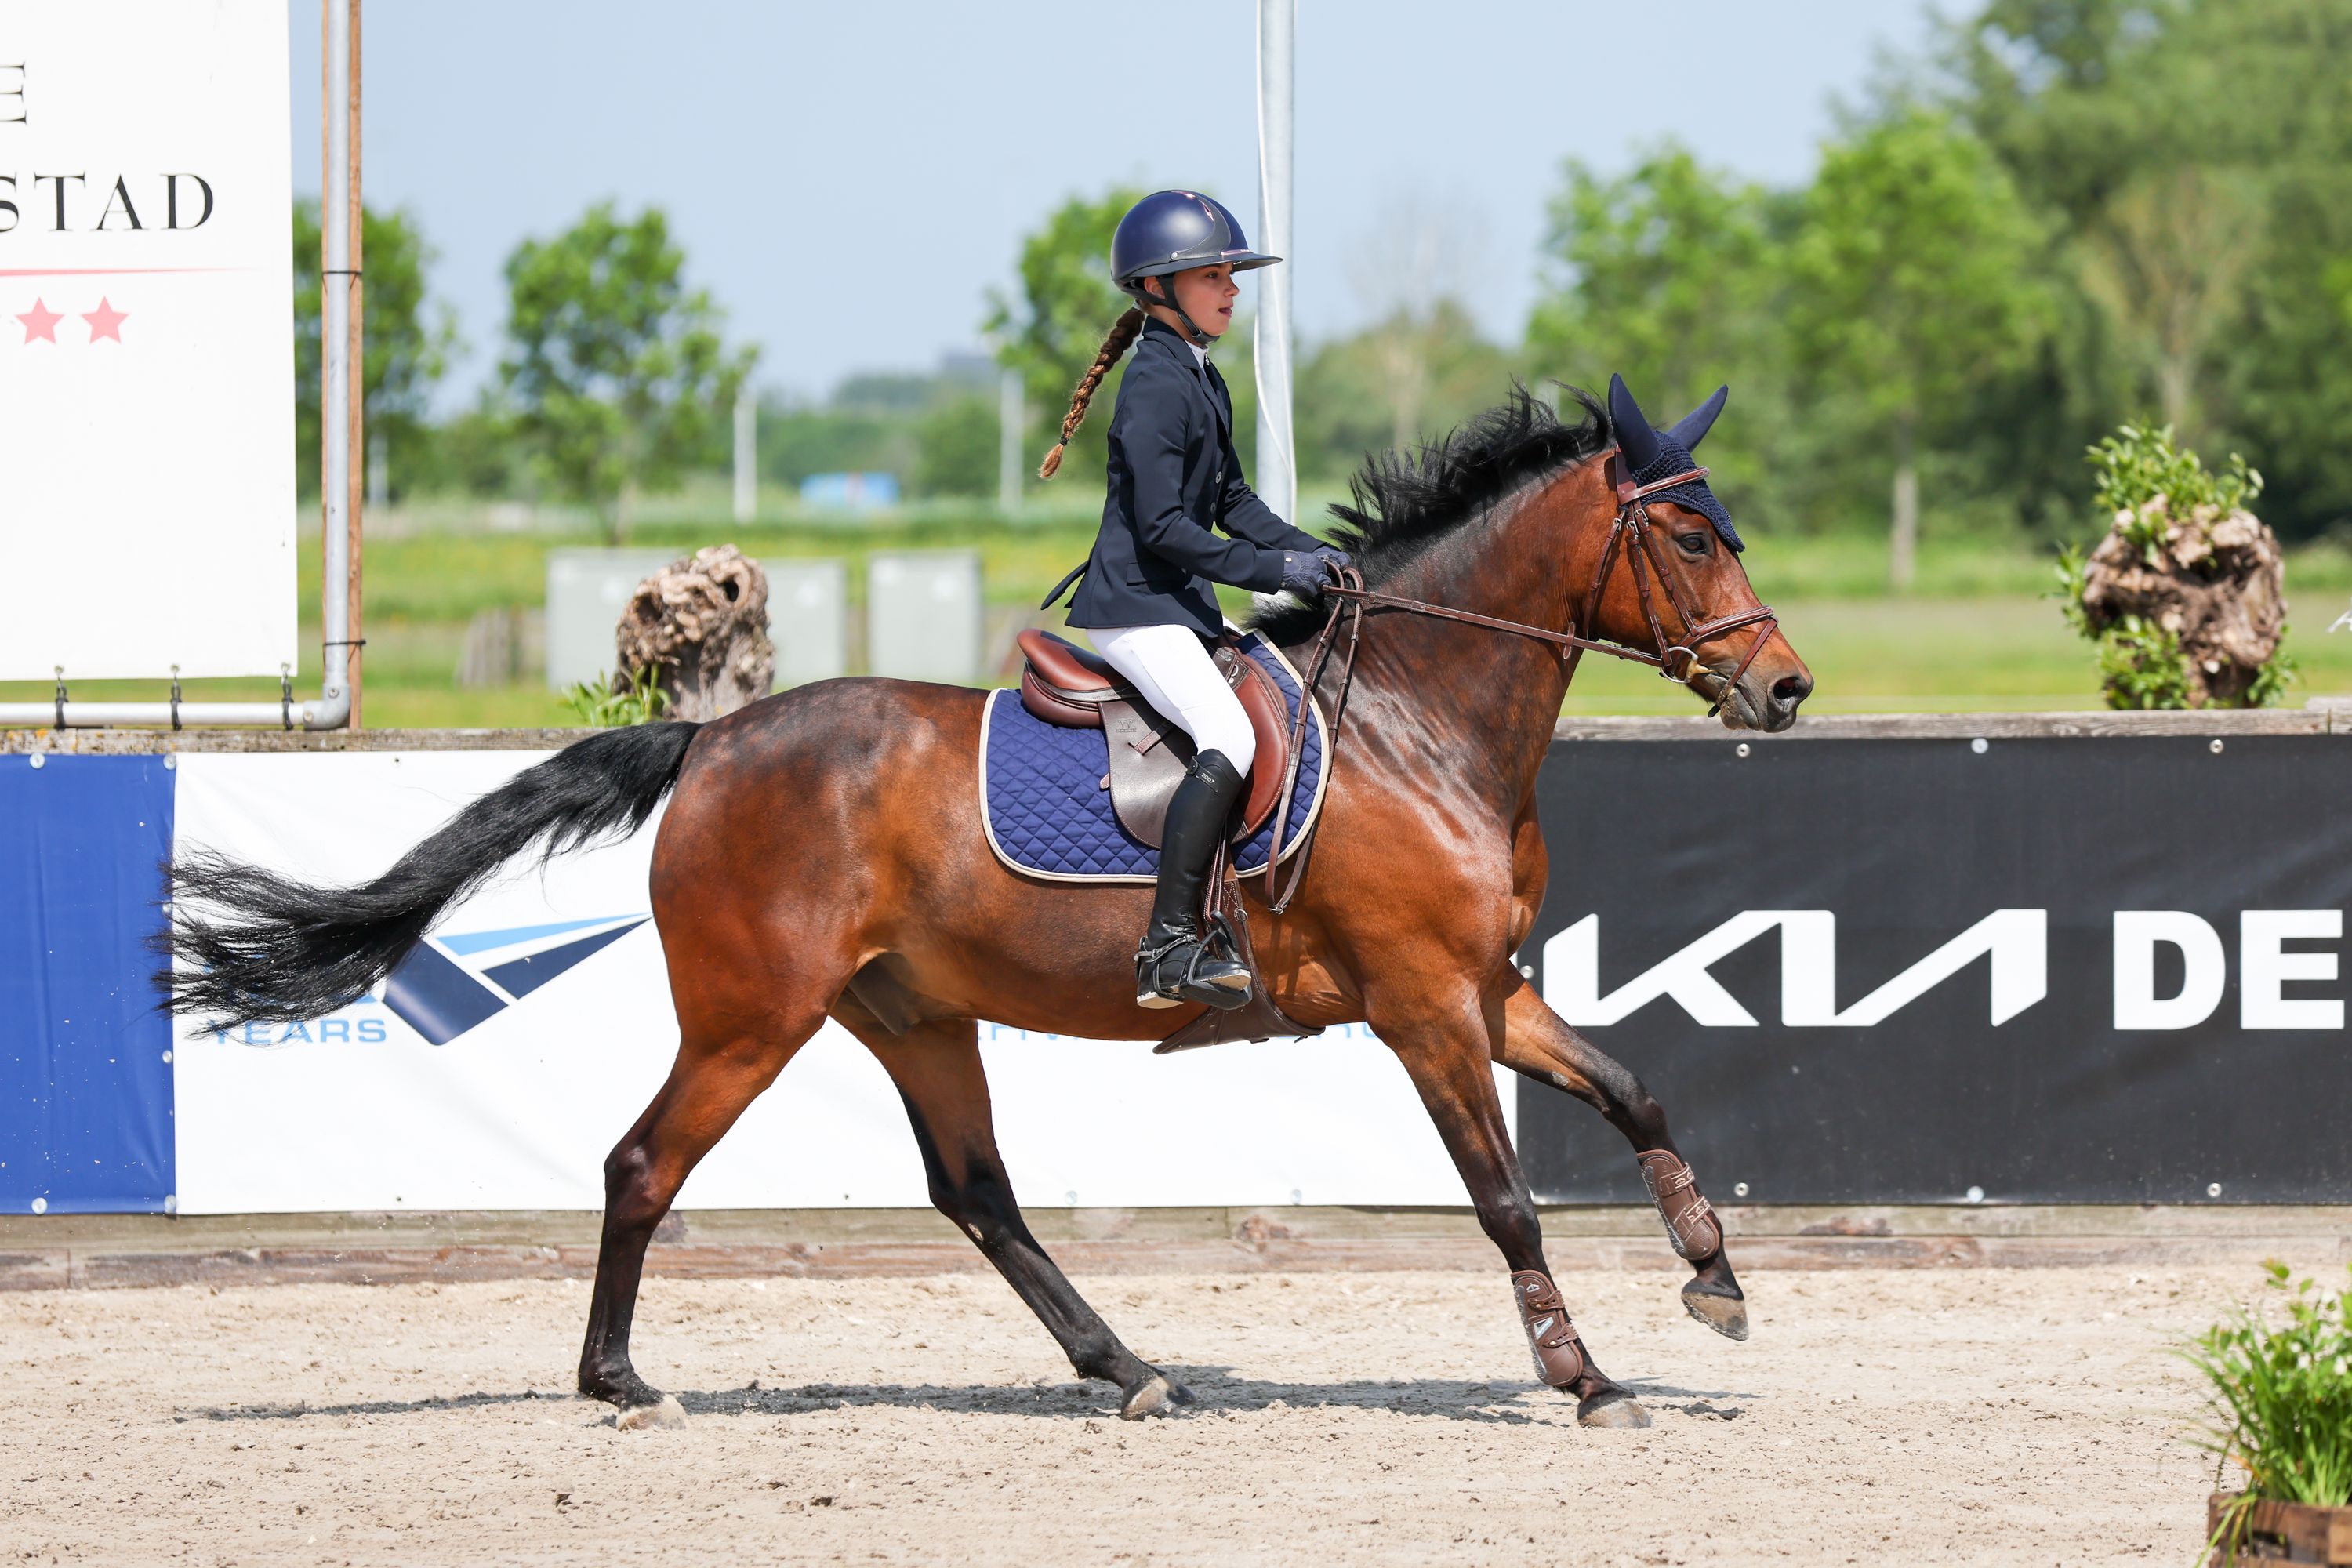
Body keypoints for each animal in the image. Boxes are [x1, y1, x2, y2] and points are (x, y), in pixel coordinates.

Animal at [164, 380, 1813, 1432]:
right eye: (1689, 538)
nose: (1787, 690)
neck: (1420, 723)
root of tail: (716, 741)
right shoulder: (1421, 1012)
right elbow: (1507, 1197)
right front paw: (1583, 1379)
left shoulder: (1489, 991)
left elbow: (1639, 1092)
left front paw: (1715, 1278)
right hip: (752, 1020)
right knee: (644, 1166)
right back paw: (621, 1386)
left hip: (911, 1015)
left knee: (979, 1194)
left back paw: (1129, 1370)